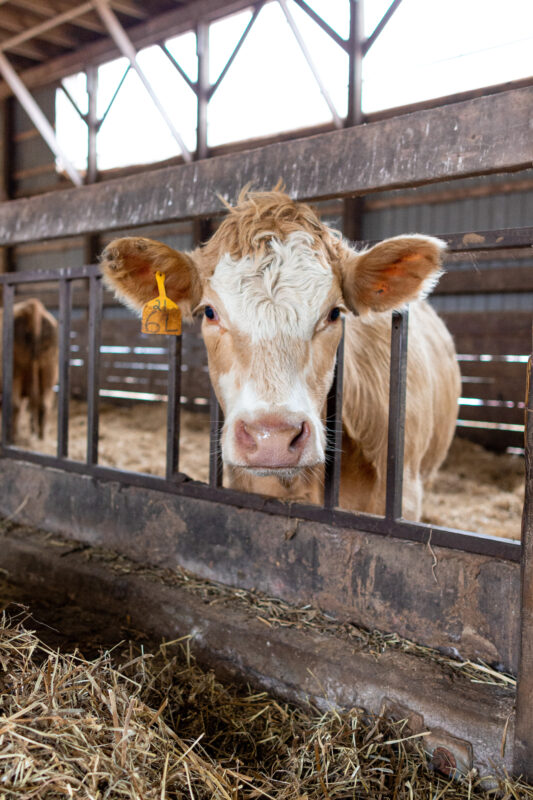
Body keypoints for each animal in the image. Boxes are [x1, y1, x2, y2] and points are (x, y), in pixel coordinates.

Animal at [0, 298, 59, 440]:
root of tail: (32, 306)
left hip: (16, 371)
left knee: (15, 405)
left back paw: (14, 436)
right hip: (49, 370)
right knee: (43, 404)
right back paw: (41, 436)